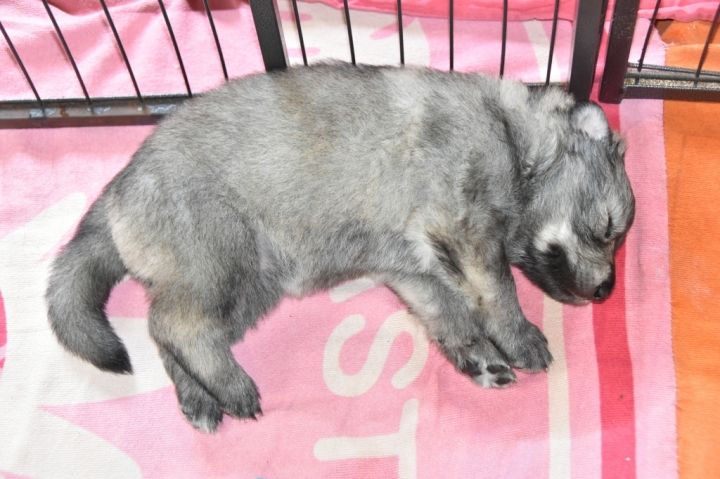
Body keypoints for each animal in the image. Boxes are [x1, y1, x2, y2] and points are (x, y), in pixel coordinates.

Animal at [46, 63, 635, 432]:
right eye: (607, 228)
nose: (608, 289)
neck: (517, 142)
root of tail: (119, 187)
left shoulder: (414, 271)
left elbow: (450, 315)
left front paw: (478, 357)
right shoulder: (470, 234)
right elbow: (499, 294)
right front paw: (520, 338)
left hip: (246, 286)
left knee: (168, 334)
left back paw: (200, 400)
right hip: (221, 259)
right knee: (176, 325)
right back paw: (232, 387)